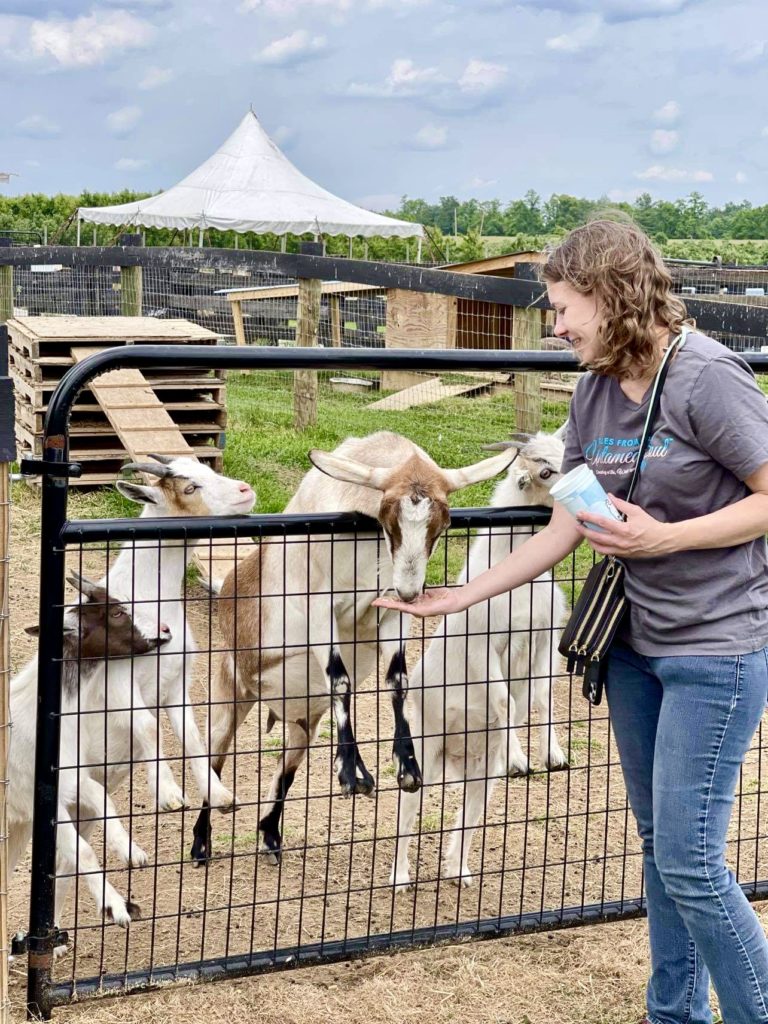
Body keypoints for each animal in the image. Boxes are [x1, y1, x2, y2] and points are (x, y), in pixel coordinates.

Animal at [191, 430, 524, 864]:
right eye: (388, 521)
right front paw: (354, 775)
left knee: (285, 771)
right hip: (231, 694)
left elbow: (398, 679)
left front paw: (408, 767)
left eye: (441, 525)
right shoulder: (320, 609)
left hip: (304, 723)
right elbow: (341, 679)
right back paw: (200, 844)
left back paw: (270, 836)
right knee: (213, 762)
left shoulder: (389, 612)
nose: (411, 591)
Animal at [391, 428, 573, 892]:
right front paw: (519, 755)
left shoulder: (543, 638)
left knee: (469, 811)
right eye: (544, 470)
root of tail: (456, 757)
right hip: (423, 753)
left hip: (481, 773)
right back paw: (400, 878)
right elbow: (506, 700)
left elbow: (538, 696)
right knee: (408, 809)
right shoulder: (484, 644)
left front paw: (549, 756)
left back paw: (458, 870)